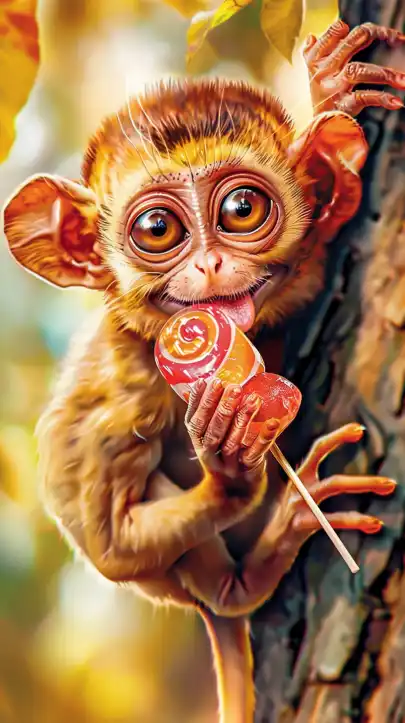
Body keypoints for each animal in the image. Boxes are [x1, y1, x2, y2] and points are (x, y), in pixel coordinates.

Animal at [2, 19, 405, 723]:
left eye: (243, 209)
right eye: (158, 228)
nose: (212, 265)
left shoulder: (302, 269)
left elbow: (333, 216)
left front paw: (332, 94)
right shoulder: (119, 409)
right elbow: (110, 545)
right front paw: (230, 465)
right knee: (205, 590)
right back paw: (251, 575)